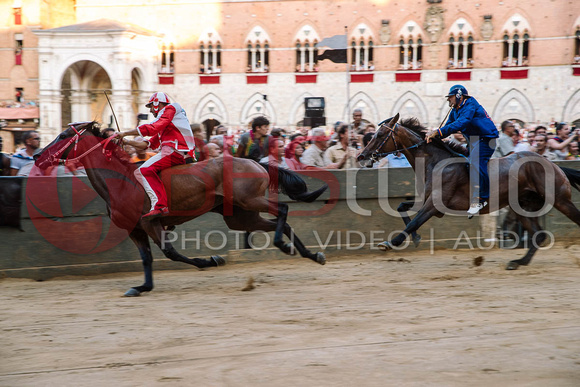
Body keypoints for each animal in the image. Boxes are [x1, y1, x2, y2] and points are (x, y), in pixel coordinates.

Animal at [35, 122, 326, 298]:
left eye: (63, 136)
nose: (38, 156)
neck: (121, 182)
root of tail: (256, 162)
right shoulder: (135, 229)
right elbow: (147, 259)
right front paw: (143, 286)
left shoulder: (151, 223)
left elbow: (171, 253)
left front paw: (211, 260)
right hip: (240, 216)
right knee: (279, 222)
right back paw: (308, 254)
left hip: (250, 201)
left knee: (283, 209)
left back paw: (287, 246)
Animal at [356, 114, 580, 270]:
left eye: (380, 135)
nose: (361, 156)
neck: (436, 162)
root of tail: (554, 164)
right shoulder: (428, 201)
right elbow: (402, 207)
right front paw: (417, 237)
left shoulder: (434, 204)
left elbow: (413, 221)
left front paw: (390, 243)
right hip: (523, 206)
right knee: (538, 236)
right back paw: (517, 262)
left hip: (560, 200)